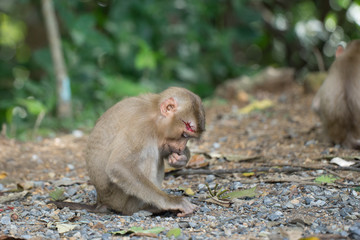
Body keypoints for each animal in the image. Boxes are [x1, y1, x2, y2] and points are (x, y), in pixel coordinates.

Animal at [52, 87, 207, 217]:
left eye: (188, 137)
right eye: (185, 134)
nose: (181, 148)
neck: (154, 114)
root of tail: (101, 201)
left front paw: (180, 159)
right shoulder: (140, 128)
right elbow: (119, 166)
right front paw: (172, 202)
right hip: (118, 198)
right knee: (149, 155)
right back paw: (144, 208)